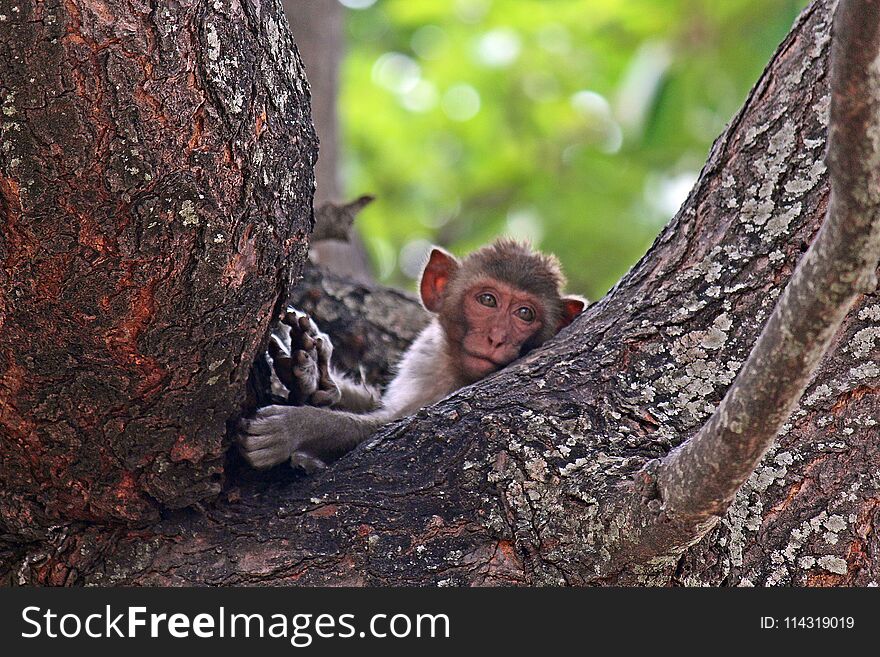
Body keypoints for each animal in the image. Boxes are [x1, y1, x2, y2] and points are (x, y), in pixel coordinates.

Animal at [237, 240, 588, 472]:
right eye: (488, 300)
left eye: (525, 314)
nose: (497, 338)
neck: (453, 368)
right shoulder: (426, 356)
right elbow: (384, 406)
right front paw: (313, 376)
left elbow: (389, 425)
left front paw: (294, 427)